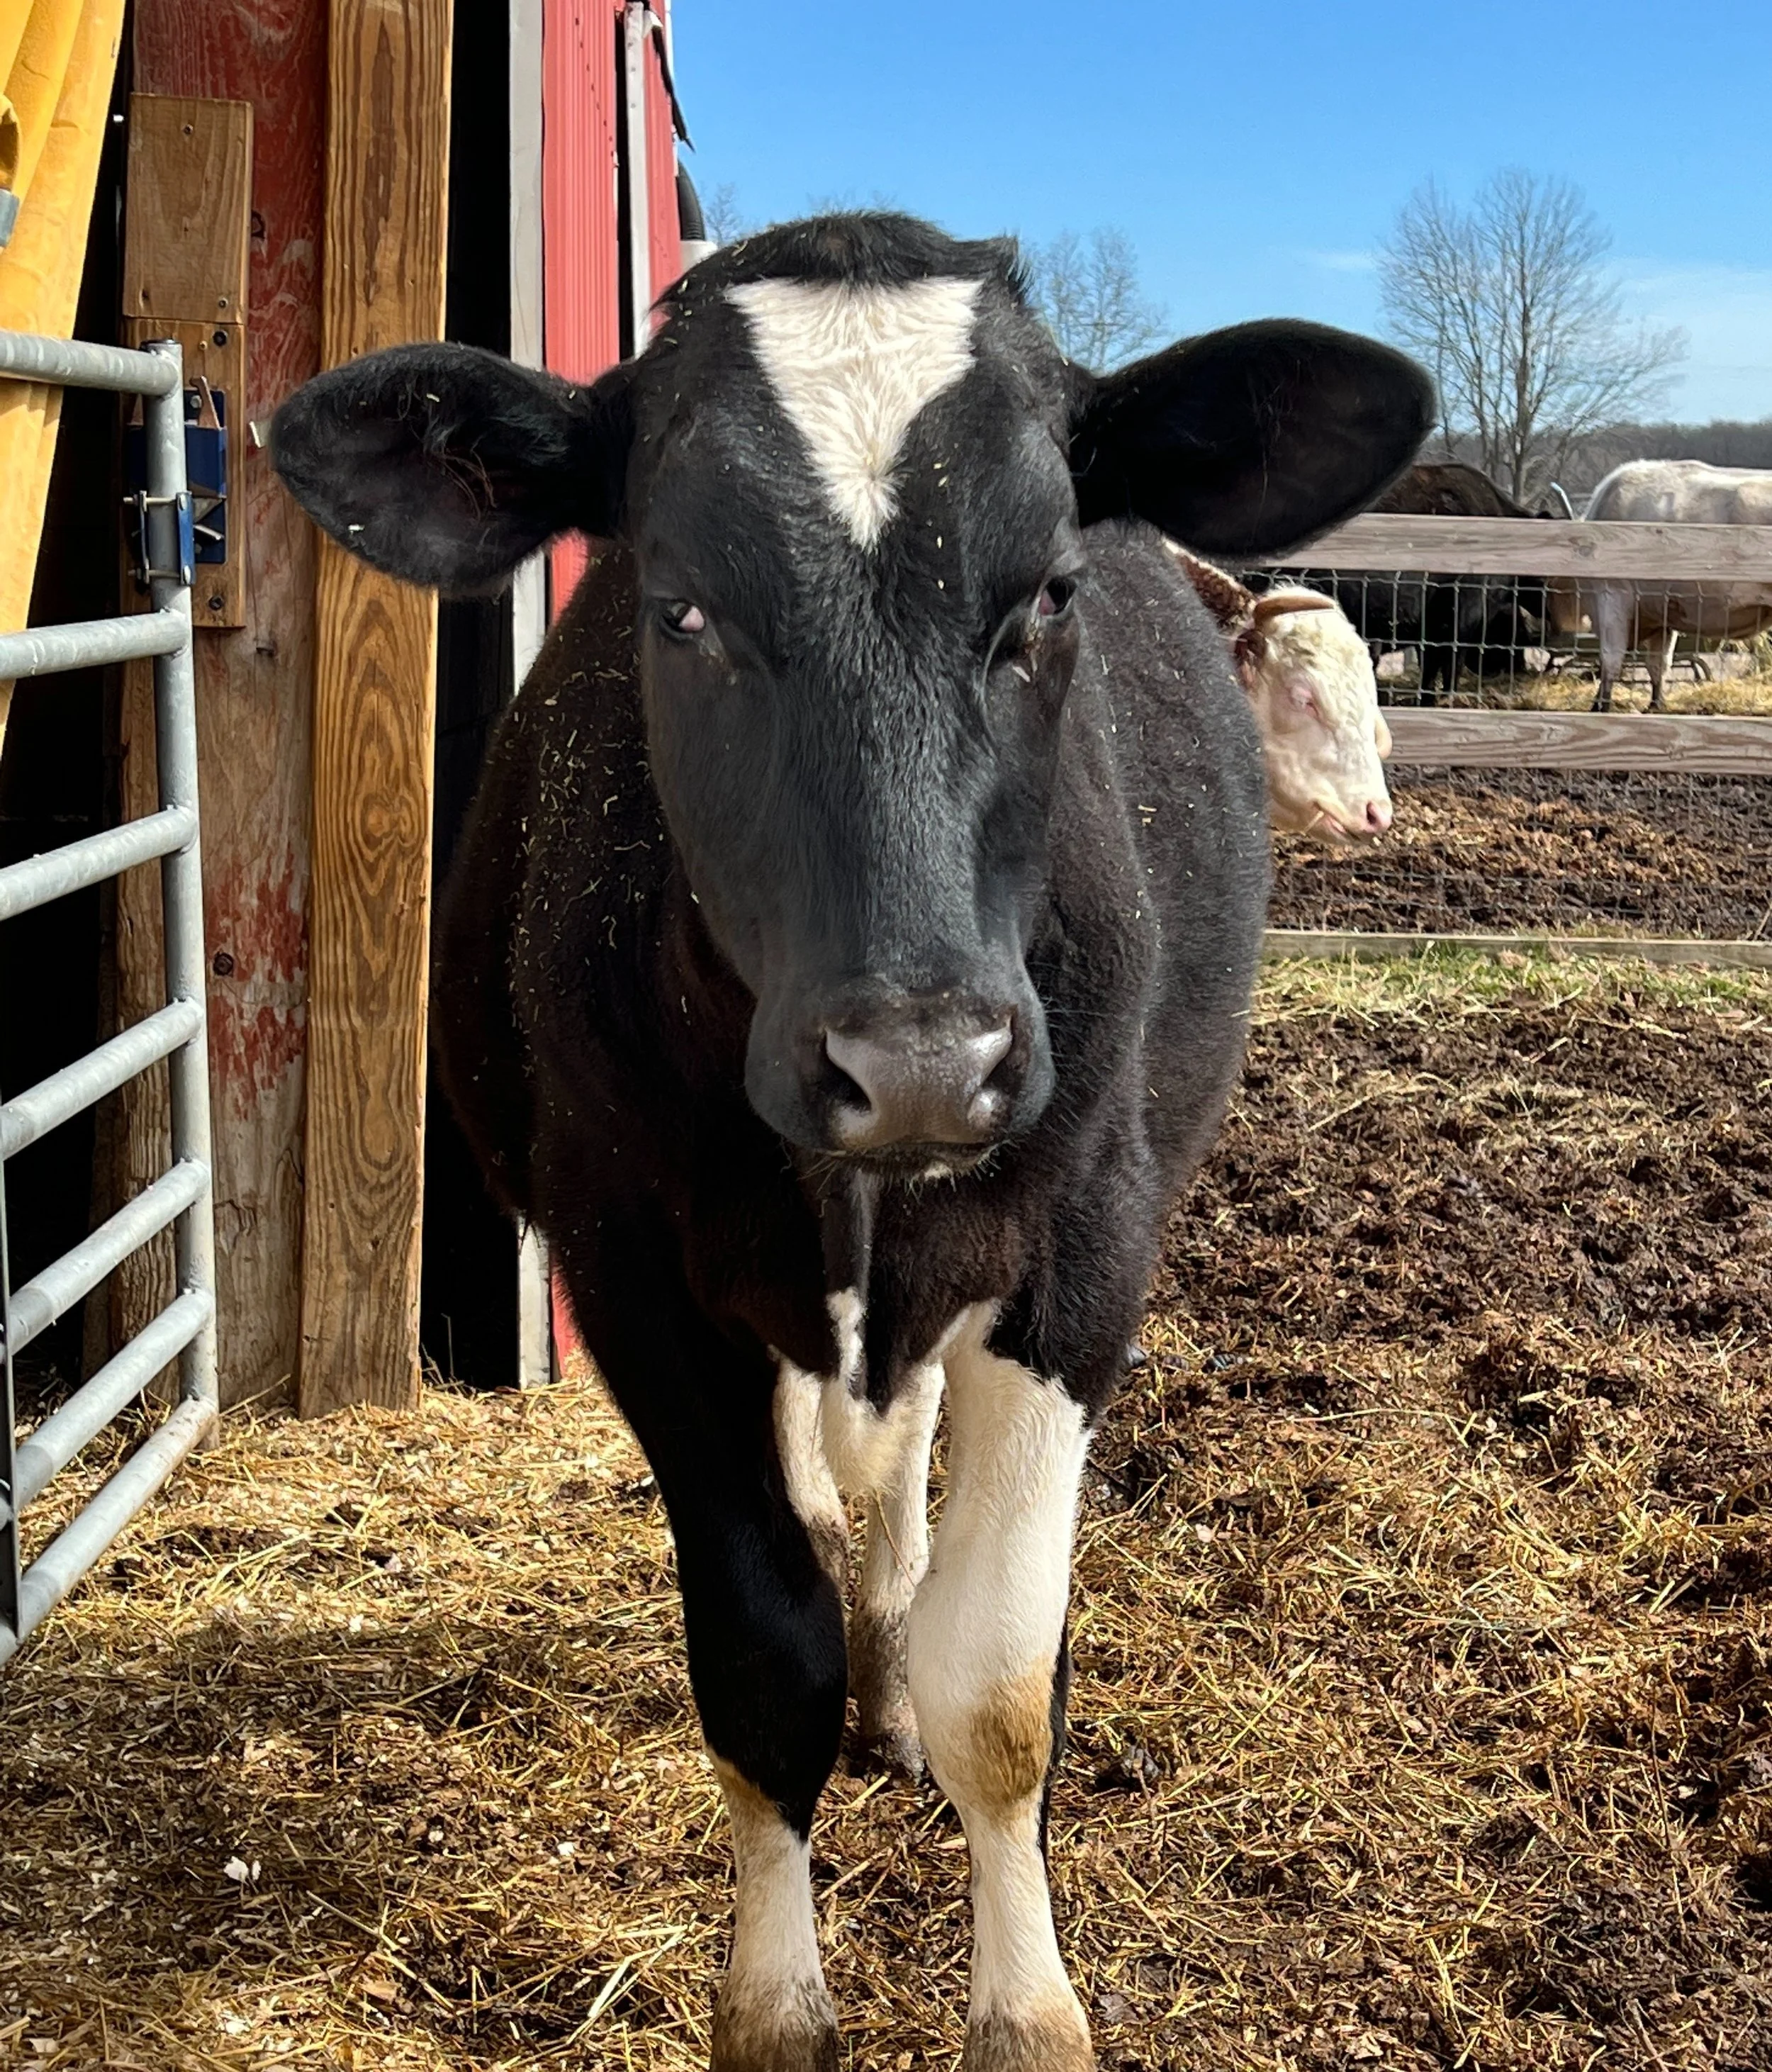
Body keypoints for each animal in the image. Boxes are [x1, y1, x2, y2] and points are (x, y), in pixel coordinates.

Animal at [1332, 460, 1551, 700]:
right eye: (1513, 625)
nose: (1519, 667)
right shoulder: (1461, 619)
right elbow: (1450, 672)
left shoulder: (1430, 628)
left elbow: (1428, 676)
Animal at [1555, 460, 1772, 711]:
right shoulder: (1663, 618)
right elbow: (1658, 665)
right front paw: (1655, 705)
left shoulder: (1613, 598)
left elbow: (1611, 659)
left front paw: (1600, 706)